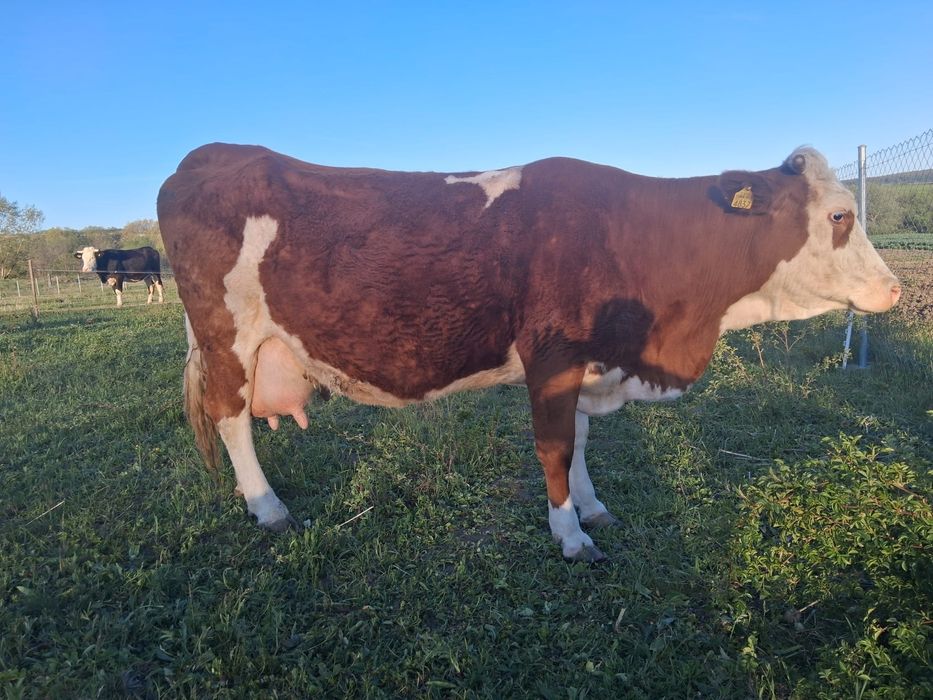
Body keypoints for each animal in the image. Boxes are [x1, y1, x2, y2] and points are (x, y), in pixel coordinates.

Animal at [157, 143, 900, 562]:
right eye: (839, 215)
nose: (894, 288)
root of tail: (209, 153)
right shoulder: (552, 355)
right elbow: (555, 446)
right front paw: (570, 535)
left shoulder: (589, 363)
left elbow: (580, 440)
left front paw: (591, 506)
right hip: (227, 337)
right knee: (230, 418)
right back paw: (268, 507)